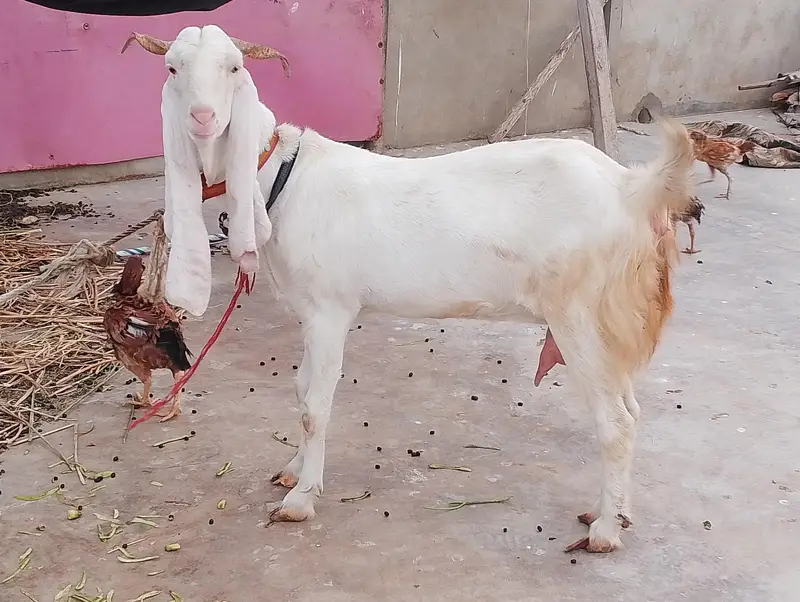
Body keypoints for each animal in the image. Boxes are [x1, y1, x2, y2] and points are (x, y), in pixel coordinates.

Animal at [124, 25, 695, 553]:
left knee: (615, 423)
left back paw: (603, 531)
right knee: (631, 411)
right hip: (606, 324)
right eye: (172, 69)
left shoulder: (331, 310)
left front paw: (301, 498)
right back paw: (616, 513)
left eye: (235, 68)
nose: (202, 118)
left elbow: (315, 406)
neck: (282, 176)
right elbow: (301, 389)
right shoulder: (310, 312)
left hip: (579, 314)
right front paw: (292, 469)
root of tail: (632, 189)